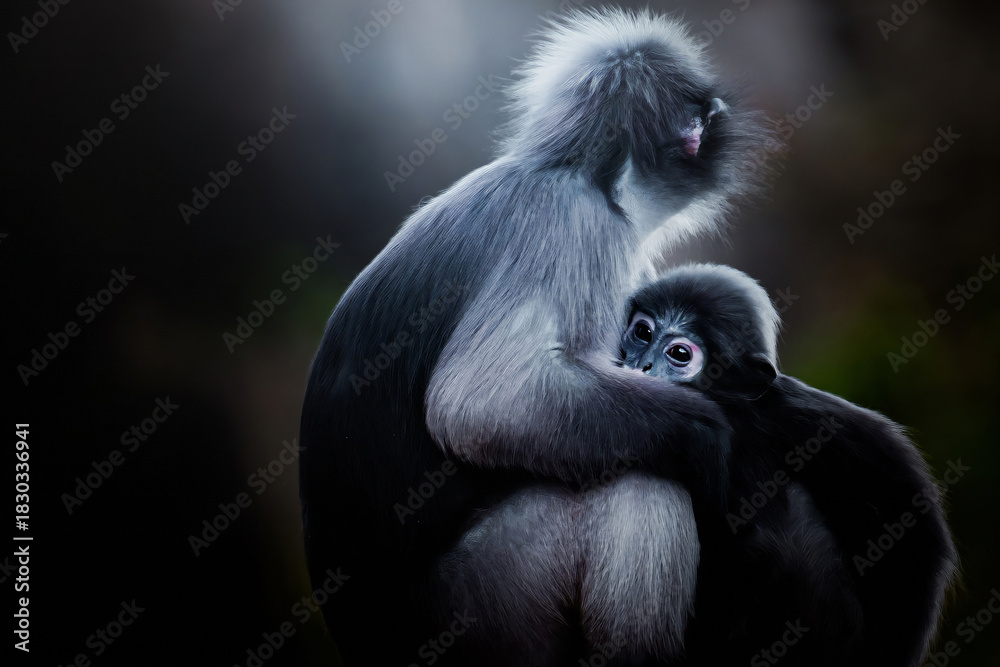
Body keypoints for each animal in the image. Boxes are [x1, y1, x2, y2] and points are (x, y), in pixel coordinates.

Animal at [300, 8, 777, 665]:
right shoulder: (578, 226)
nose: (720, 122)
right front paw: (713, 436)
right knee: (639, 483)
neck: (573, 172)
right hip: (485, 606)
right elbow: (482, 402)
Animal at [618, 263, 958, 667]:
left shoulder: (809, 418)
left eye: (680, 353)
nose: (643, 365)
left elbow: (914, 530)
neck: (739, 418)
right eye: (642, 332)